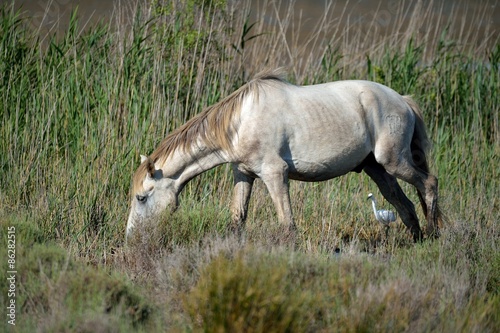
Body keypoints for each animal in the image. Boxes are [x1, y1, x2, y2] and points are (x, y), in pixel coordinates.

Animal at [126, 70, 442, 241]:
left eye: (141, 197)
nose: (131, 236)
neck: (241, 121)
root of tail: (403, 101)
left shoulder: (275, 174)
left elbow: (287, 224)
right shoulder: (244, 174)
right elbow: (237, 219)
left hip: (394, 161)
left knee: (429, 184)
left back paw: (432, 234)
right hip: (376, 168)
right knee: (403, 205)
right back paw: (416, 240)